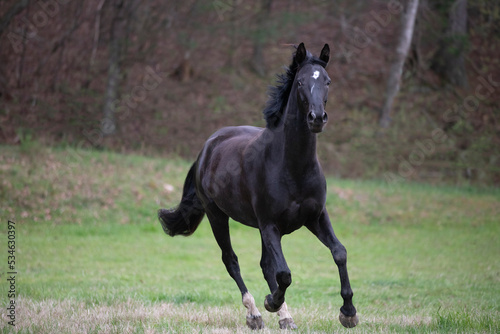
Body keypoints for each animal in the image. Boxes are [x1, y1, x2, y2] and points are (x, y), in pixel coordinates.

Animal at [158, 43, 358, 330]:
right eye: (300, 82)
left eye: (328, 81)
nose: (317, 118)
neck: (292, 166)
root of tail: (207, 147)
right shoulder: (270, 225)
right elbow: (284, 273)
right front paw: (270, 303)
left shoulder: (315, 217)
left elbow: (339, 252)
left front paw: (348, 312)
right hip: (218, 216)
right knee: (232, 261)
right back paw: (255, 314)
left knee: (265, 265)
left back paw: (285, 317)